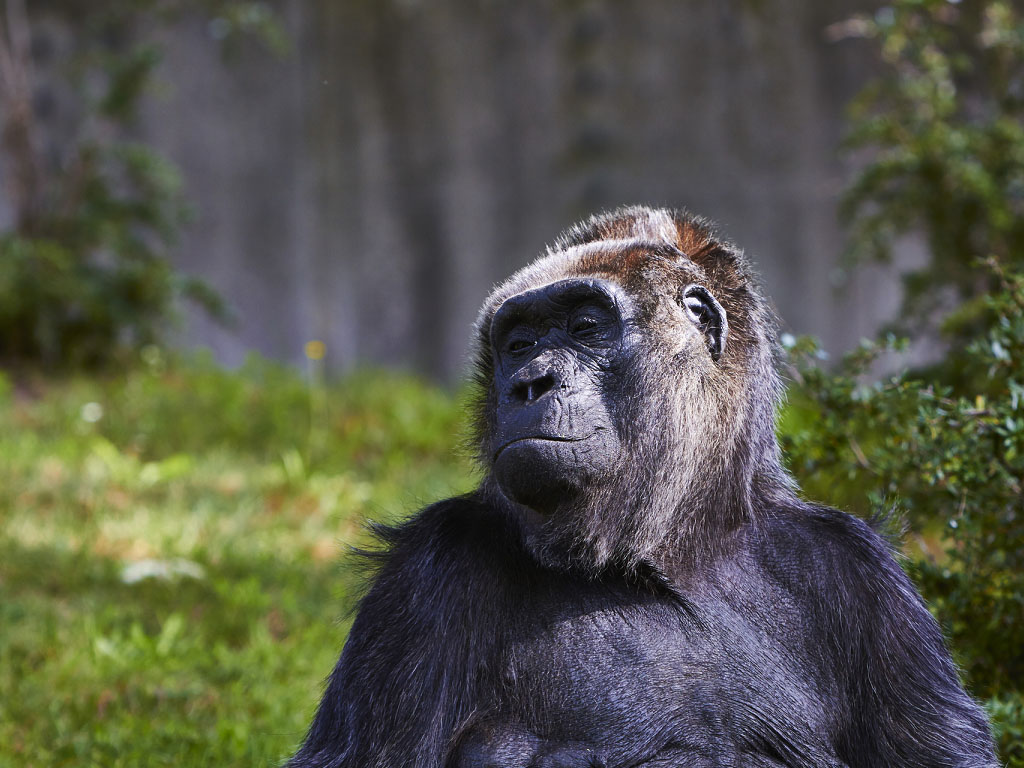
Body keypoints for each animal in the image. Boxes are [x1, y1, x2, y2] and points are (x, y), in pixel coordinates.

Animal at [286, 205, 991, 768]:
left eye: (584, 328)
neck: (673, 541)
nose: (528, 384)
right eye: (518, 344)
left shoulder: (863, 572)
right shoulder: (427, 573)